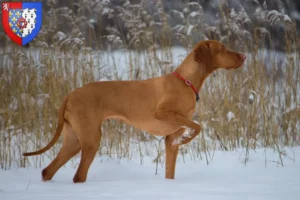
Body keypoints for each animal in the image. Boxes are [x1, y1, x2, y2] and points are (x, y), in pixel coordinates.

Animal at [22, 40, 246, 183]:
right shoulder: (162, 113)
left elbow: (170, 169)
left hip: (74, 141)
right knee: (78, 176)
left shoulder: (169, 139)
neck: (186, 82)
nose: (244, 55)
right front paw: (187, 138)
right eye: (222, 48)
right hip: (91, 140)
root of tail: (71, 94)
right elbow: (197, 126)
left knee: (47, 171)